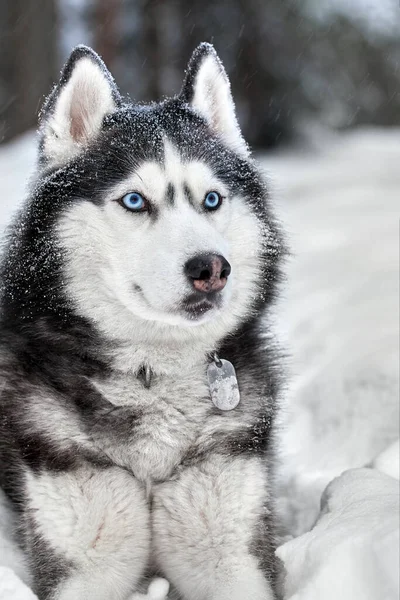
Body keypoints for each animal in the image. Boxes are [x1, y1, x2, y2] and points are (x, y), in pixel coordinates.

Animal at [0, 43, 284, 600]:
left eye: (211, 200)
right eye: (135, 200)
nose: (211, 268)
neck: (154, 372)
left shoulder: (226, 548)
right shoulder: (86, 562)